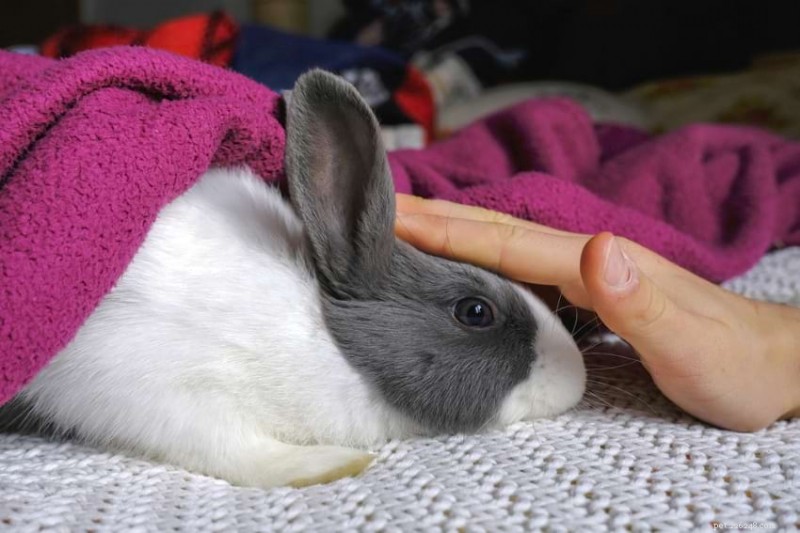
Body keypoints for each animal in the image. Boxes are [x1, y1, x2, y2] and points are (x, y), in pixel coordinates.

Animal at [6, 70, 586, 489]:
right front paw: (330, 464)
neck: (329, 340)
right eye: (475, 311)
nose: (577, 375)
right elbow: (231, 448)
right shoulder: (136, 382)